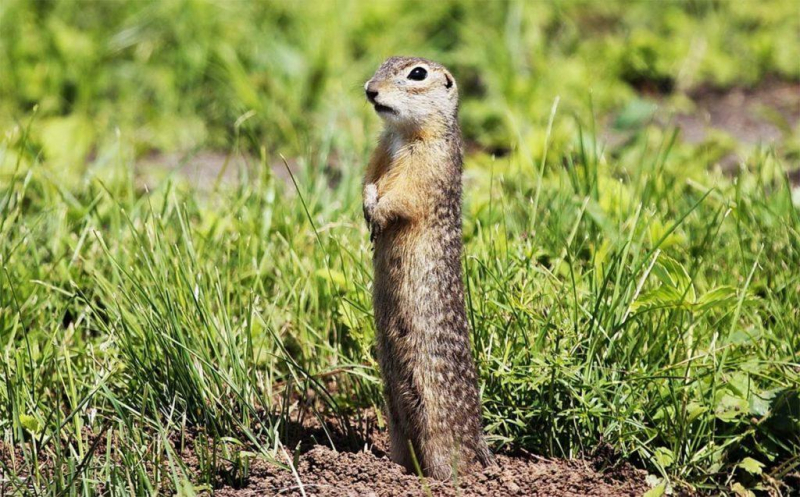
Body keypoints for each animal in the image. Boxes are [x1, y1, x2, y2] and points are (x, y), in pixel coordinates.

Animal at [364, 56, 494, 478]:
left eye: (417, 74)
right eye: (381, 64)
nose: (370, 90)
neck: (401, 135)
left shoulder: (428, 166)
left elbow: (403, 196)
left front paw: (377, 214)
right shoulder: (378, 151)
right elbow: (368, 180)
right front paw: (366, 204)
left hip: (436, 420)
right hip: (393, 412)